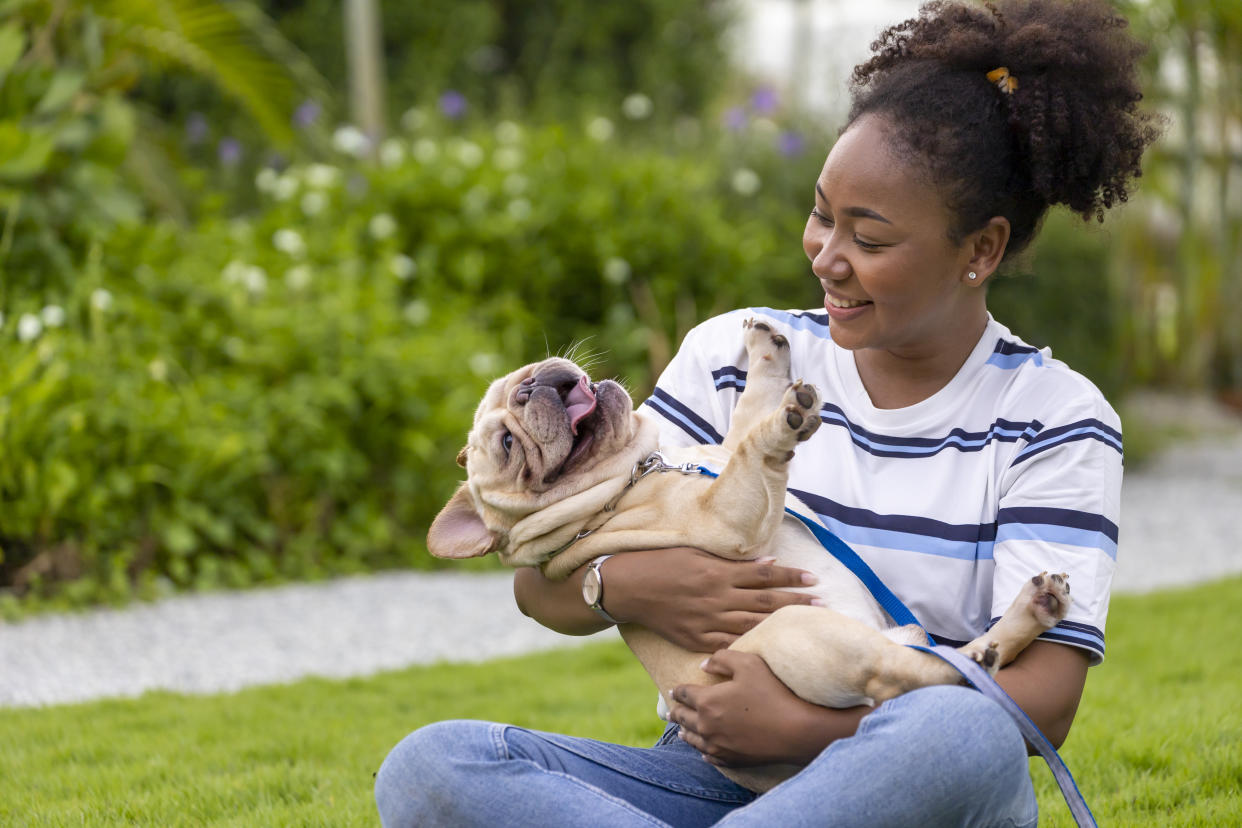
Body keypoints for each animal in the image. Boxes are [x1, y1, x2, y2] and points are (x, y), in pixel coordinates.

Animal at [427, 320, 1068, 794]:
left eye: (519, 378)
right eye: (508, 446)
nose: (530, 387)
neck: (635, 472)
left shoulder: (725, 456)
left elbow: (747, 411)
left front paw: (765, 347)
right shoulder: (727, 517)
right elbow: (755, 444)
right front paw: (784, 425)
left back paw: (1031, 609)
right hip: (803, 632)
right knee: (911, 677)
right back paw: (987, 646)